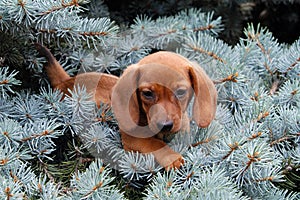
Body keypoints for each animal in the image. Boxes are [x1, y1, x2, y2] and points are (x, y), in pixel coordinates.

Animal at [36, 44, 217, 170]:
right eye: (147, 93)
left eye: (180, 92)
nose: (165, 125)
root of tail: (66, 81)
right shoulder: (132, 139)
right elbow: (155, 144)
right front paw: (172, 157)